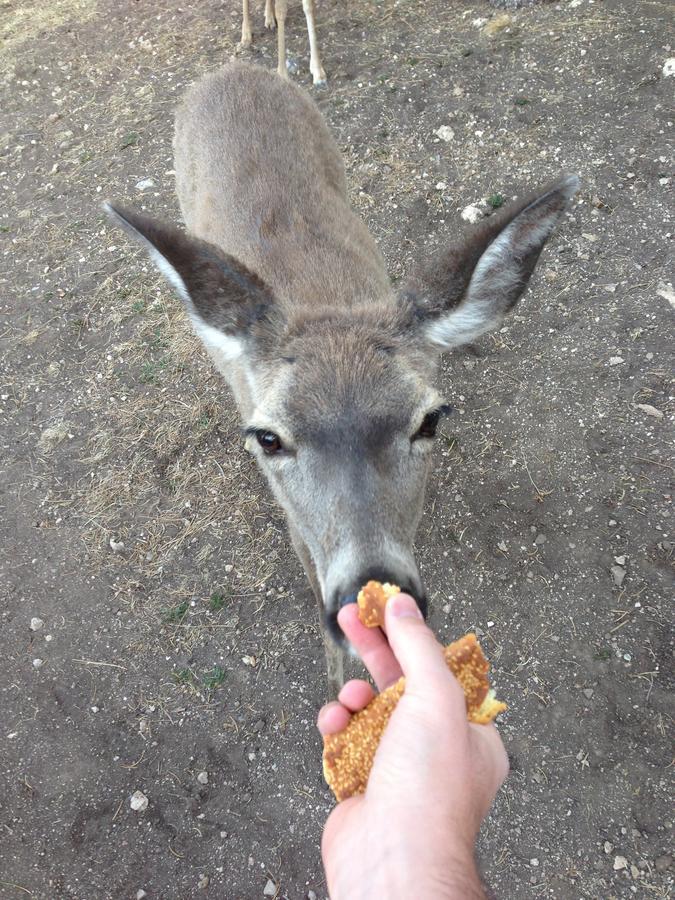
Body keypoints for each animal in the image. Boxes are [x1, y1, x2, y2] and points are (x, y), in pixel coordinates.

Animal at [105, 61, 580, 696]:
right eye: (267, 438)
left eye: (430, 420)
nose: (368, 594)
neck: (324, 301)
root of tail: (234, 68)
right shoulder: (293, 516)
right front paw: (341, 685)